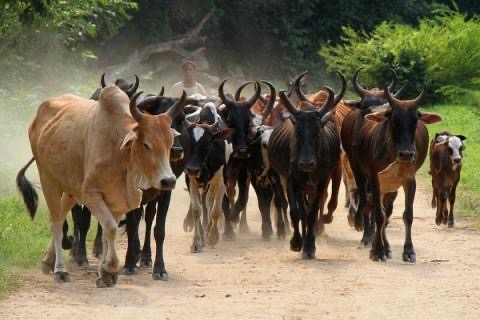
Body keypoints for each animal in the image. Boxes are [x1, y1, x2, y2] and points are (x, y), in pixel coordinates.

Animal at [16, 85, 187, 288]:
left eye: (169, 143)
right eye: (146, 144)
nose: (168, 181)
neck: (120, 155)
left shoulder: (117, 201)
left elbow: (107, 232)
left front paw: (104, 273)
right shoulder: (91, 194)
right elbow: (111, 228)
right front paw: (110, 269)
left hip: (71, 187)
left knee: (62, 213)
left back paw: (47, 261)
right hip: (48, 179)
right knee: (56, 221)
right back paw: (60, 270)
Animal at [266, 71, 344, 258]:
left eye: (317, 133)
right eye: (298, 132)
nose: (306, 164)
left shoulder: (322, 183)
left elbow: (312, 213)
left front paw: (310, 247)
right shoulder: (291, 182)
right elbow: (295, 212)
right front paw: (296, 242)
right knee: (299, 211)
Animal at [342, 85, 442, 262]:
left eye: (415, 121)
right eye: (394, 120)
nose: (407, 154)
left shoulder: (410, 181)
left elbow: (407, 215)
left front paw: (408, 251)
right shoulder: (375, 180)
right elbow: (379, 215)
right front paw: (377, 250)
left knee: (386, 211)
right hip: (360, 172)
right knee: (369, 205)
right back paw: (369, 238)